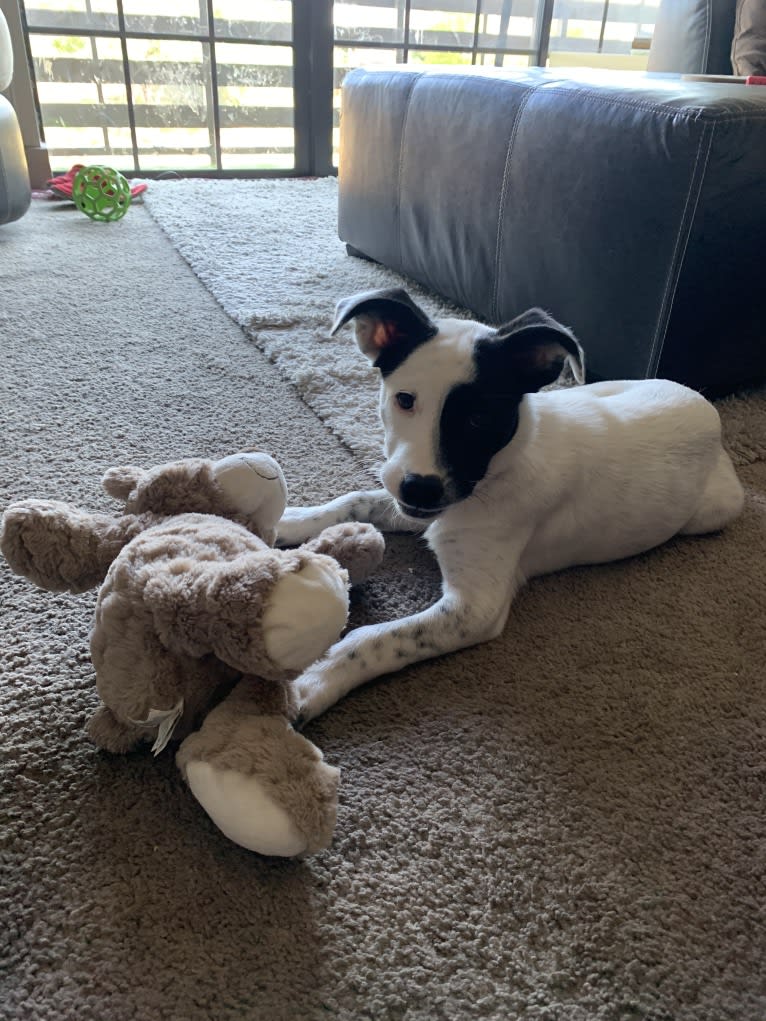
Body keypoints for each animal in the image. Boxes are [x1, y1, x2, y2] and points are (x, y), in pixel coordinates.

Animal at [279, 283, 747, 722]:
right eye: (405, 400)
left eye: (479, 419)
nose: (419, 489)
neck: (500, 470)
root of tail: (705, 404)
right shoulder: (428, 506)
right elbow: (356, 499)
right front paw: (289, 520)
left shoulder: (474, 608)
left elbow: (375, 639)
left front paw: (314, 681)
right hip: (595, 388)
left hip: (712, 511)